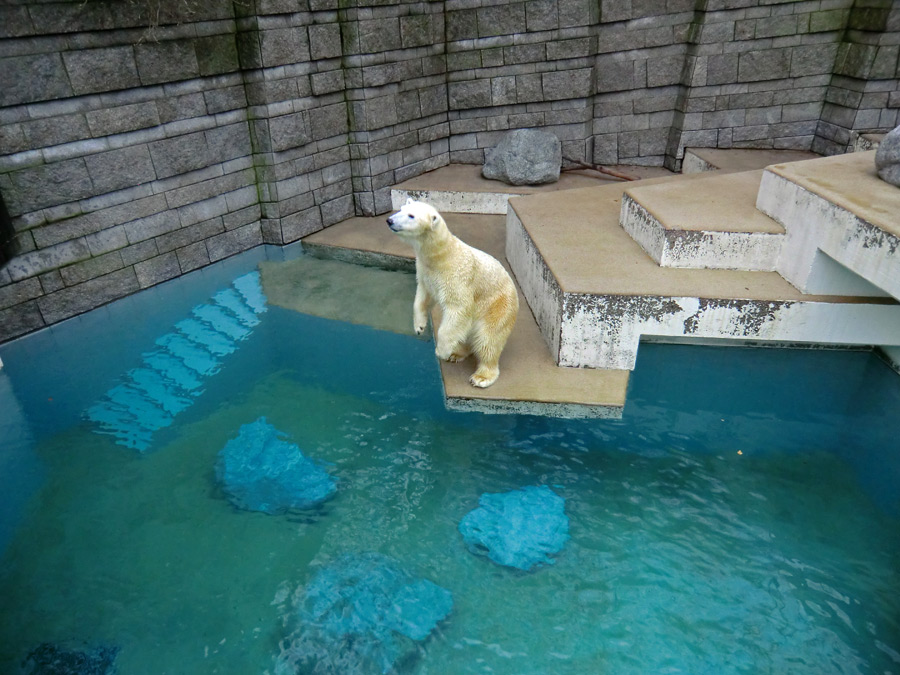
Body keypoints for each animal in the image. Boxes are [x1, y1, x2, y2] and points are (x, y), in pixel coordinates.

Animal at [386, 199, 520, 390]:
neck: (441, 255)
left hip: (498, 306)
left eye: (411, 216)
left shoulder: (456, 276)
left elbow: (459, 308)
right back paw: (457, 353)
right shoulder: (426, 272)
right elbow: (423, 296)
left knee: (488, 339)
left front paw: (441, 350)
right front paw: (419, 326)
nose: (389, 220)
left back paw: (481, 376)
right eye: (401, 209)